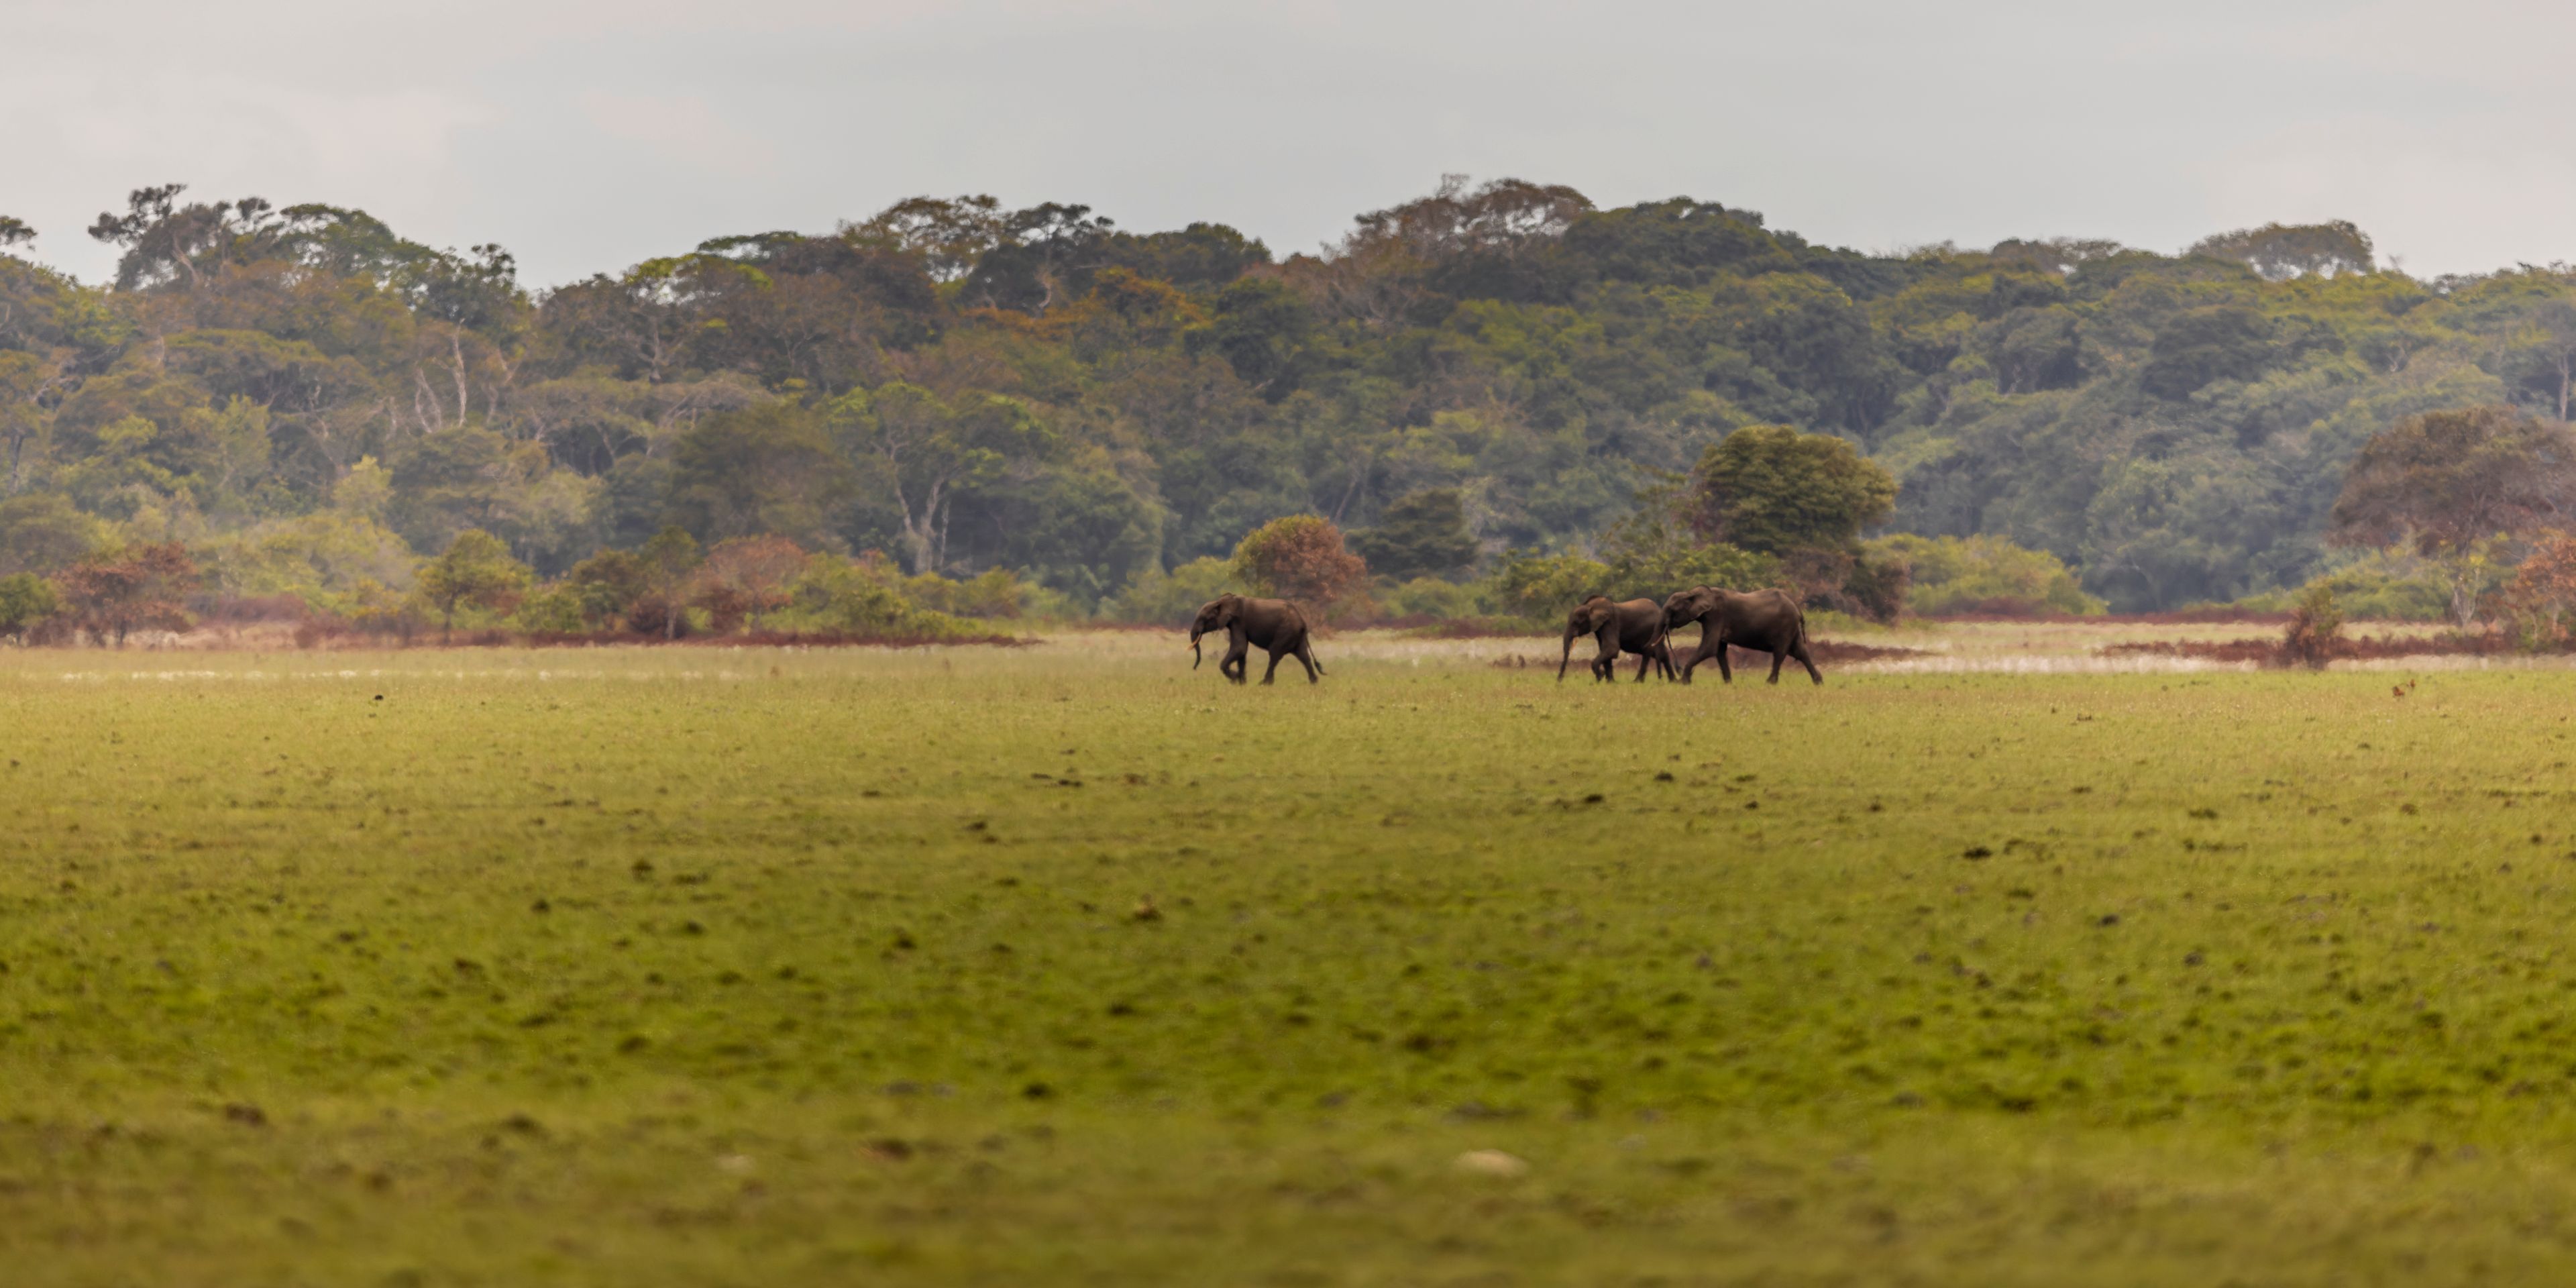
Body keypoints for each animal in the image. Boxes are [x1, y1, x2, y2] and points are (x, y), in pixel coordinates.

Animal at [1189, 594, 1324, 685]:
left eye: (1205, 619)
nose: (1194, 669)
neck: (1221, 601)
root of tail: (1303, 622)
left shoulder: (1239, 622)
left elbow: (1239, 648)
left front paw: (1235, 678)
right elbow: (1242, 651)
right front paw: (1241, 682)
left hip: (1286, 632)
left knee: (1275, 653)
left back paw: (1264, 683)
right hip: (1296, 636)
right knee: (1303, 656)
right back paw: (1314, 682)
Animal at [1556, 595, 1674, 683]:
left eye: (1576, 623)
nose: (1559, 682)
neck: (1590, 606)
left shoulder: (1610, 622)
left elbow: (1612, 648)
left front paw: (1600, 676)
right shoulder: (1601, 627)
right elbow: (1605, 650)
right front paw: (1610, 682)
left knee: (1649, 651)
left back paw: (1637, 682)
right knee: (1661, 653)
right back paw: (1672, 681)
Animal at [1662, 586, 1821, 685]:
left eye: (1672, 610)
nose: (1677, 673)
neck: (1692, 593)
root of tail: (1797, 606)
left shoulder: (1716, 616)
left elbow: (1709, 647)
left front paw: (1684, 683)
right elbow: (1719, 650)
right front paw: (1728, 684)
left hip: (1786, 626)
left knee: (1780, 652)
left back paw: (1770, 683)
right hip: (1792, 627)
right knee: (1801, 651)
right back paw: (1818, 682)